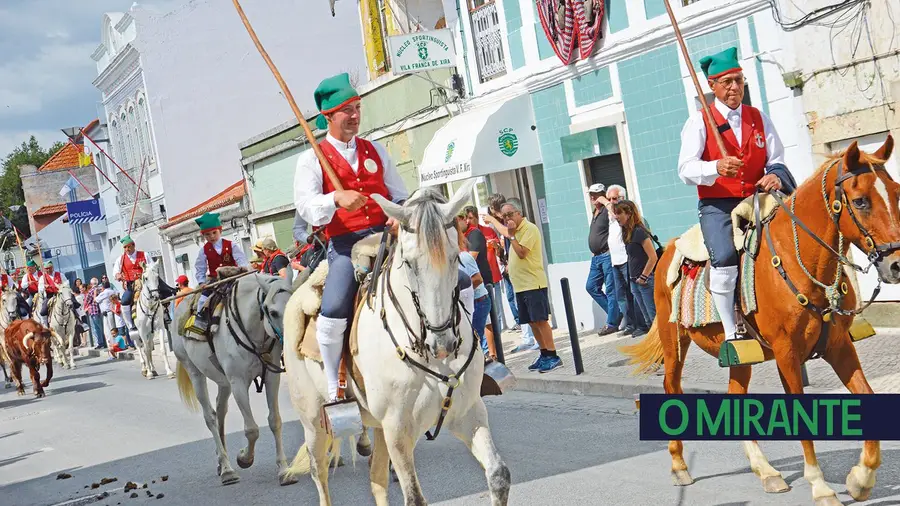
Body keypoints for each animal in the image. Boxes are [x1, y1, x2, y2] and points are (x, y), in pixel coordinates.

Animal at [174, 270, 300, 488]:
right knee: (210, 417)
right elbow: (252, 429)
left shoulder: (271, 378)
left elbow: (274, 421)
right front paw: (244, 458)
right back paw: (227, 469)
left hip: (223, 382)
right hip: (195, 372)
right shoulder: (238, 383)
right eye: (273, 312)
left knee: (220, 411)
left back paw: (221, 461)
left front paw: (284, 471)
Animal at [284, 182, 506, 506]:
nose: (443, 342)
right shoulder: (398, 430)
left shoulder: (468, 413)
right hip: (314, 422)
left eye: (455, 257)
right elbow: (414, 498)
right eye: (409, 263)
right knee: (320, 474)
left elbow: (498, 475)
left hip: (376, 428)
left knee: (376, 478)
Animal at [624, 135, 900, 506]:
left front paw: (861, 478)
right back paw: (680, 466)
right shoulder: (787, 354)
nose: (896, 264)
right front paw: (820, 485)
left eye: (896, 192)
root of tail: (667, 248)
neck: (798, 261)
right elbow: (800, 416)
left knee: (735, 395)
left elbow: (867, 398)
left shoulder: (839, 346)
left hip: (741, 357)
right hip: (674, 344)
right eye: (860, 201)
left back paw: (766, 470)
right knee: (672, 389)